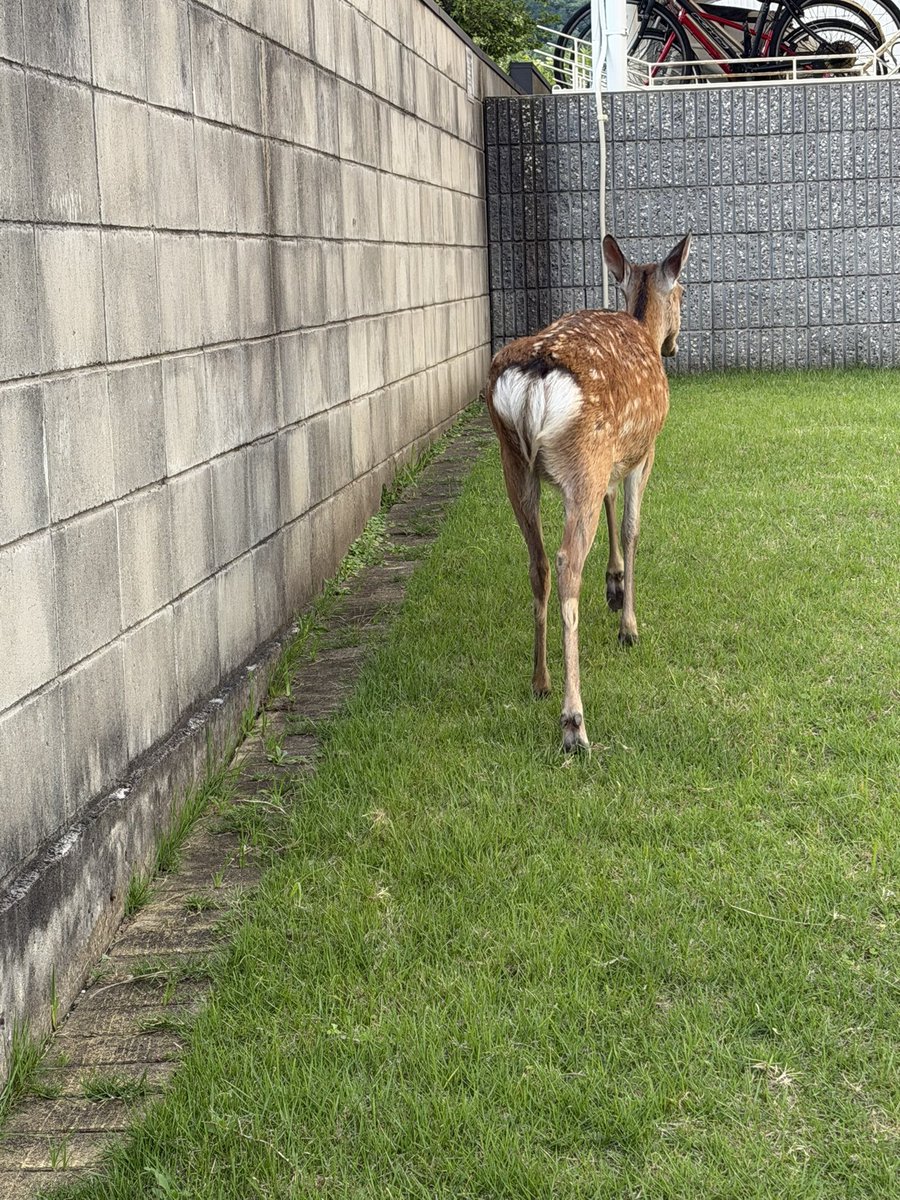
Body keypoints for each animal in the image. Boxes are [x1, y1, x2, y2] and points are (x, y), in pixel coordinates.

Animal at [485, 233, 691, 753]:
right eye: (682, 293)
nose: (674, 345)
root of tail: (535, 377)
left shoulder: (610, 459)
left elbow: (613, 503)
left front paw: (614, 586)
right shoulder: (644, 449)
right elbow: (633, 526)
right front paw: (629, 625)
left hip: (517, 463)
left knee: (538, 561)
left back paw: (539, 680)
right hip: (582, 460)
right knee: (565, 563)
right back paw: (574, 723)